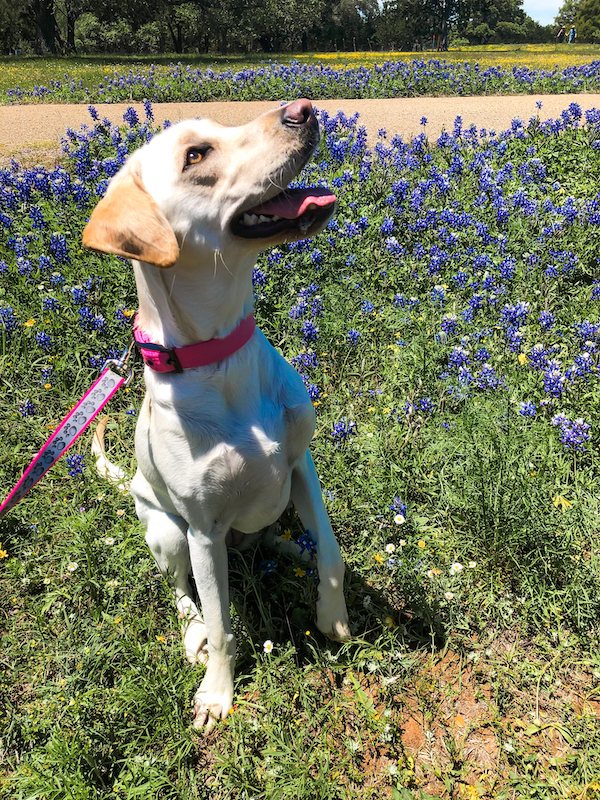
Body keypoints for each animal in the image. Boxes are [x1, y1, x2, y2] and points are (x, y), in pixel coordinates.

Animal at [82, 100, 350, 732]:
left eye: (220, 128)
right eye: (196, 155)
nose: (305, 107)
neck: (223, 354)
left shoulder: (301, 466)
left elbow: (332, 552)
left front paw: (333, 616)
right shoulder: (203, 531)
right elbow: (225, 623)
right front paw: (217, 692)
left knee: (280, 543)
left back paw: (289, 552)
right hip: (166, 531)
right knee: (183, 592)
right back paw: (194, 631)